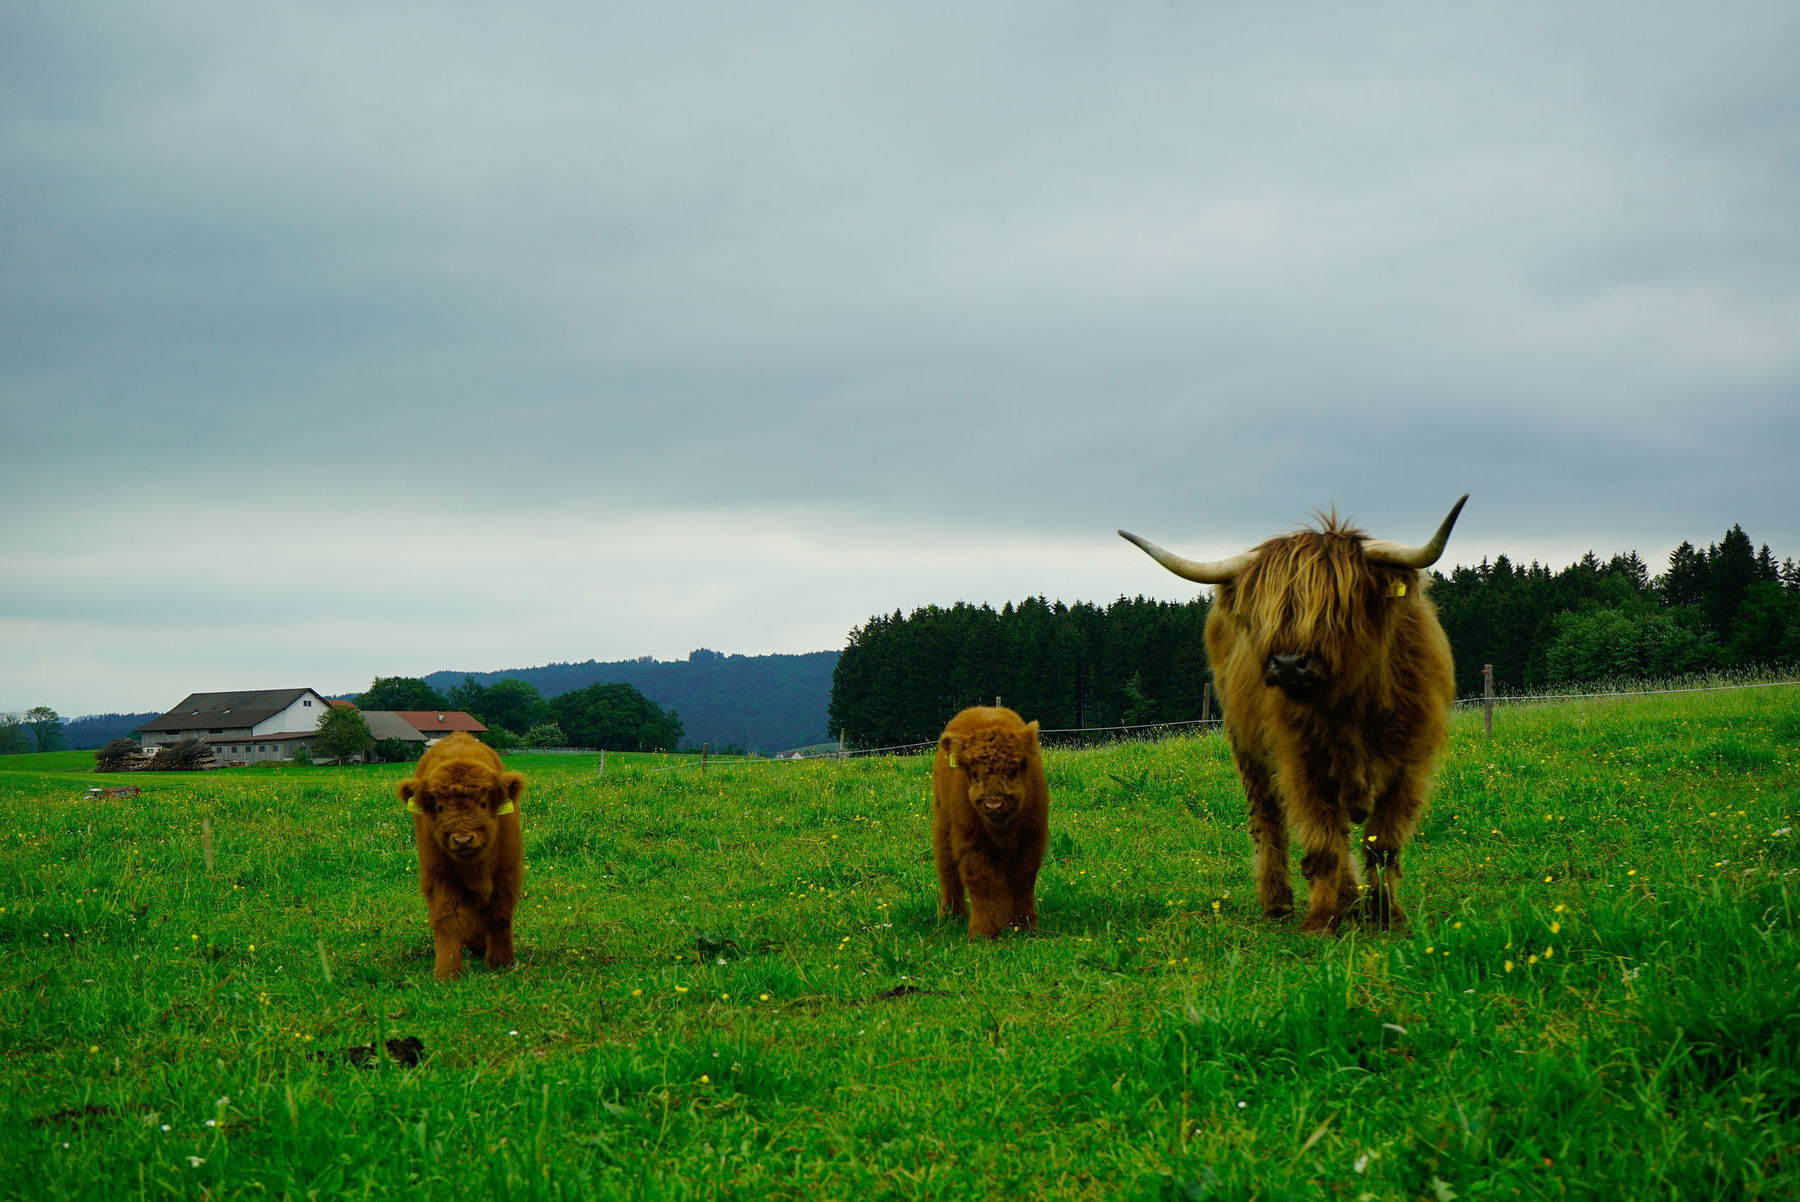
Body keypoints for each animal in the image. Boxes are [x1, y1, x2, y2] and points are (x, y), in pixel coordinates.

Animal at [396, 734, 525, 978]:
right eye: (440, 807)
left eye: (483, 803)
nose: (463, 840)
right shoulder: (440, 878)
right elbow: (447, 920)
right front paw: (446, 971)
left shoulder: (506, 873)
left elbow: (499, 916)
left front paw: (502, 963)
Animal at [936, 705, 1051, 935]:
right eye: (973, 772)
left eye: (1013, 770)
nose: (993, 805)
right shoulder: (971, 842)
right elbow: (982, 883)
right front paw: (983, 932)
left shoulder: (1032, 838)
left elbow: (1023, 879)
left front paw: (1026, 926)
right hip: (943, 823)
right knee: (948, 870)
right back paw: (952, 917)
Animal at [1116, 493, 1468, 935]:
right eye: (1267, 610)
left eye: (1337, 605)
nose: (1286, 665)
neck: (1349, 709)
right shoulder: (1301, 763)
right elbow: (1322, 843)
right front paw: (1321, 920)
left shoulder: (1410, 766)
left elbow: (1382, 846)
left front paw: (1388, 917)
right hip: (1247, 750)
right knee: (1269, 822)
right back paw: (1280, 903)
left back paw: (1351, 901)